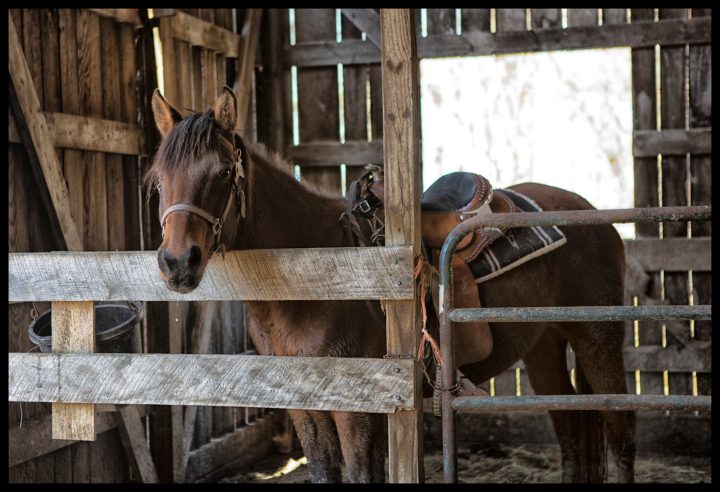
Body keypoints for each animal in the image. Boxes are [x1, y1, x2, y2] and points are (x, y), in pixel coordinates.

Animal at [145, 86, 635, 483]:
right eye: (158, 178)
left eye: (223, 173)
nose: (177, 263)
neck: (315, 280)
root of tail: (588, 210)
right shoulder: (305, 405)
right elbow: (325, 470)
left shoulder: (358, 407)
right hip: (543, 344)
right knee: (571, 425)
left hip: (597, 337)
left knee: (620, 426)